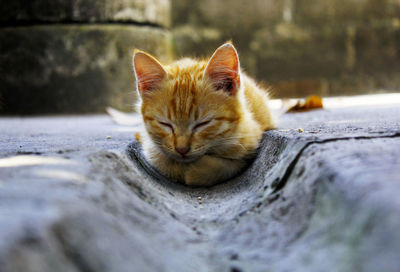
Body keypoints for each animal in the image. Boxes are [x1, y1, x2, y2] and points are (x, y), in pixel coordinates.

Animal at [133, 42, 274, 187]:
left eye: (203, 123)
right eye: (165, 124)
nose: (181, 149)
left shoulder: (251, 140)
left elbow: (229, 165)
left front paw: (195, 172)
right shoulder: (151, 148)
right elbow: (160, 159)